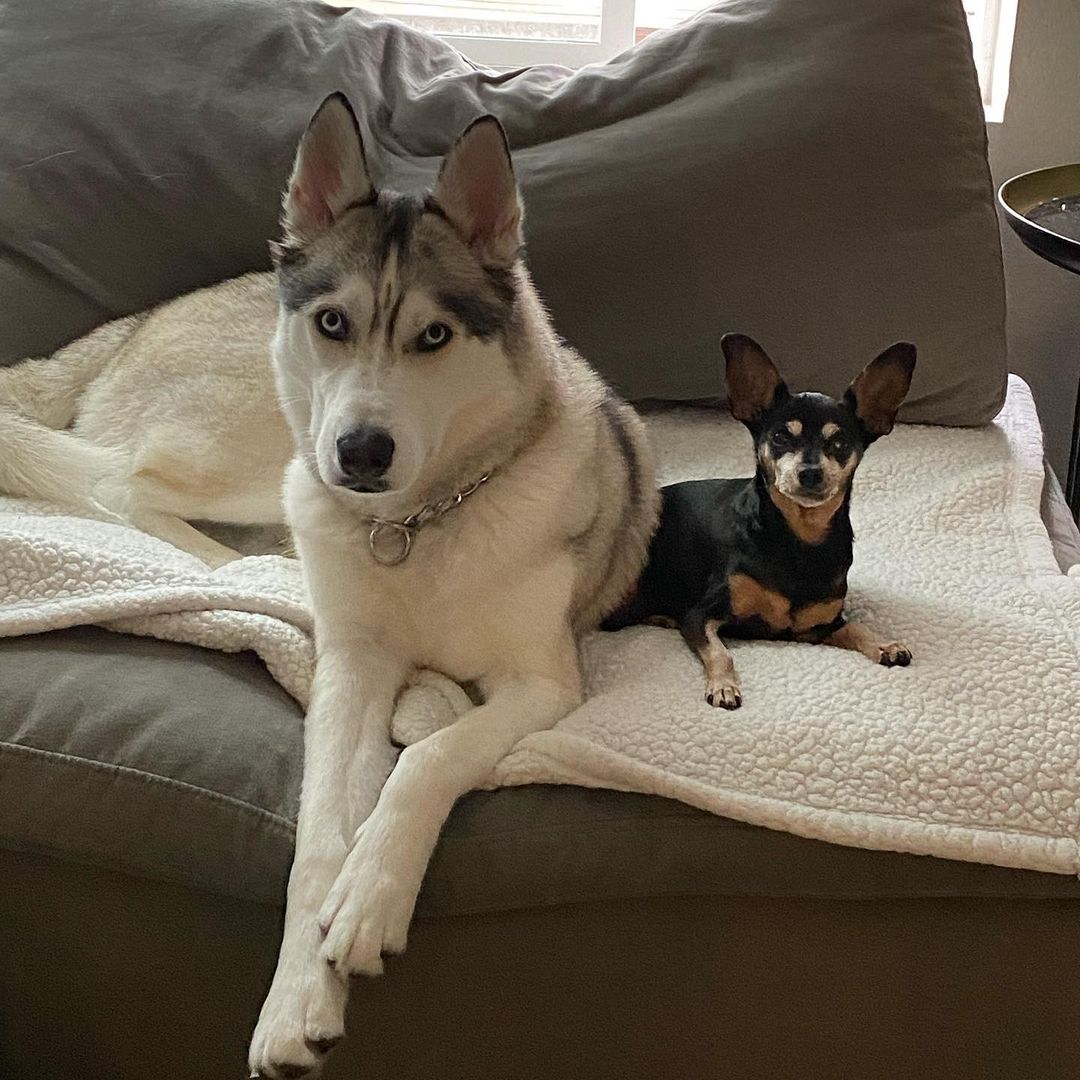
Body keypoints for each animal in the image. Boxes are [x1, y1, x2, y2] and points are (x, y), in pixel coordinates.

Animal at [609, 332, 911, 712]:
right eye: (780, 437)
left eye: (840, 443)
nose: (810, 472)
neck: (799, 539)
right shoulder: (699, 615)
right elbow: (721, 653)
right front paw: (724, 686)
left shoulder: (817, 628)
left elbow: (857, 628)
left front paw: (885, 644)